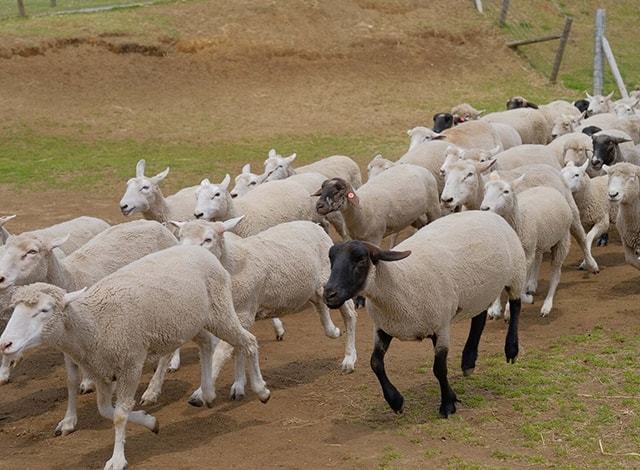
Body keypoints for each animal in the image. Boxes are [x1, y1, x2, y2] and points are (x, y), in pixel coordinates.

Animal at [0, 244, 270, 468]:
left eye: (45, 310)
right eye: (15, 310)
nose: (5, 343)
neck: (94, 323)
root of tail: (201, 251)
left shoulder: (130, 362)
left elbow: (119, 415)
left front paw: (117, 459)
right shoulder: (101, 370)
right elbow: (105, 410)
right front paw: (149, 421)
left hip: (220, 311)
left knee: (248, 341)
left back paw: (260, 389)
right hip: (192, 321)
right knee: (206, 344)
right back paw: (208, 392)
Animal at [172, 218, 358, 402]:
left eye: (208, 239)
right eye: (179, 237)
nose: (184, 260)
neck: (231, 264)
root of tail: (314, 225)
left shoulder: (244, 312)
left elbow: (224, 350)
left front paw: (200, 394)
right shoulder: (235, 315)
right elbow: (238, 347)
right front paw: (239, 385)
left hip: (330, 278)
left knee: (350, 314)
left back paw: (349, 359)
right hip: (311, 286)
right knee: (320, 302)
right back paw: (333, 330)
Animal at [312, 163, 442, 246]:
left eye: (337, 192)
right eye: (322, 191)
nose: (319, 206)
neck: (361, 210)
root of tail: (419, 168)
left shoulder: (375, 239)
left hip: (433, 206)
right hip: (414, 215)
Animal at [322, 211, 528, 416]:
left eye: (361, 259)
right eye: (331, 260)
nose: (329, 294)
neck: (397, 281)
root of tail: (487, 212)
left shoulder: (440, 326)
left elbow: (439, 368)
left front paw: (447, 404)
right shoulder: (384, 327)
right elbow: (375, 363)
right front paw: (396, 401)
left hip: (516, 272)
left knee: (516, 306)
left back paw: (511, 349)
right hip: (479, 292)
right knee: (479, 318)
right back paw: (468, 362)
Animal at [482, 178, 572, 318]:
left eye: (506, 191)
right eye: (485, 189)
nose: (484, 208)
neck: (518, 221)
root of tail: (547, 187)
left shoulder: (526, 256)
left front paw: (509, 309)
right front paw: (495, 308)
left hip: (562, 240)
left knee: (555, 274)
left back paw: (547, 305)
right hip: (539, 241)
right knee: (538, 258)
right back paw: (531, 285)